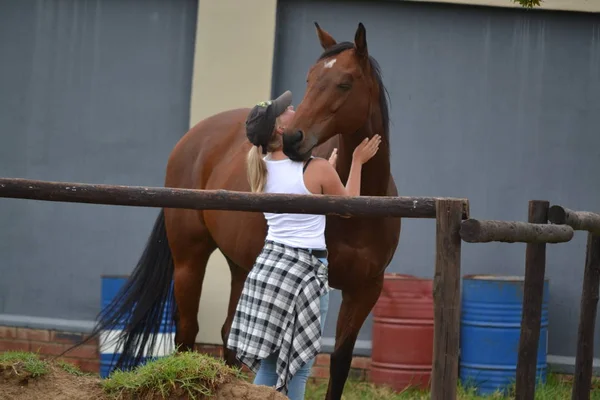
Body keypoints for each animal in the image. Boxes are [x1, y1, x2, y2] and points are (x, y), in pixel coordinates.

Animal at [83, 22, 398, 400]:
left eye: (345, 82)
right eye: (309, 79)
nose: (293, 139)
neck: (359, 205)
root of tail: (193, 138)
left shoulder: (365, 290)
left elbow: (340, 362)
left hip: (241, 266)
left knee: (228, 336)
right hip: (189, 260)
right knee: (186, 333)